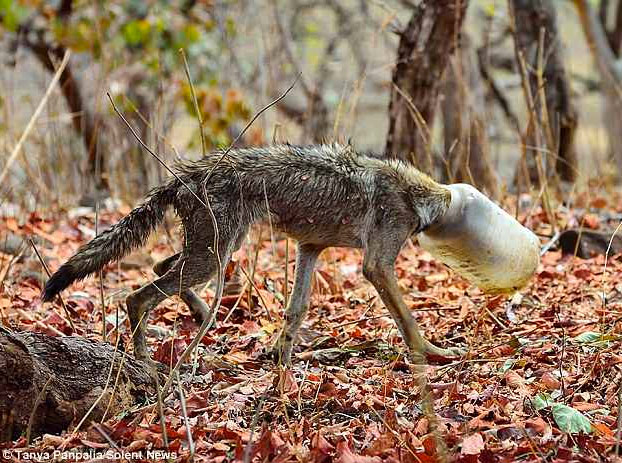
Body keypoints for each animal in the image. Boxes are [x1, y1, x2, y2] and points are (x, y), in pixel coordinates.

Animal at [40, 143, 468, 368]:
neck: (415, 195)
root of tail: (182, 176)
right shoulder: (377, 266)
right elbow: (408, 319)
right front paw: (433, 353)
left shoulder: (309, 249)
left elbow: (296, 310)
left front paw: (281, 358)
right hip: (213, 257)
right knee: (137, 296)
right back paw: (145, 360)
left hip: (213, 253)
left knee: (160, 269)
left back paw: (200, 314)